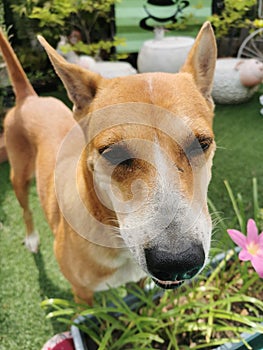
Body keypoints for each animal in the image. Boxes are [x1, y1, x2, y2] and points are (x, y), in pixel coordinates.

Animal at [1, 23, 217, 304]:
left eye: (201, 143)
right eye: (114, 154)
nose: (177, 262)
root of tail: (29, 98)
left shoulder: (138, 284)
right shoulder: (82, 296)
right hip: (18, 176)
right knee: (25, 209)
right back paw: (32, 238)